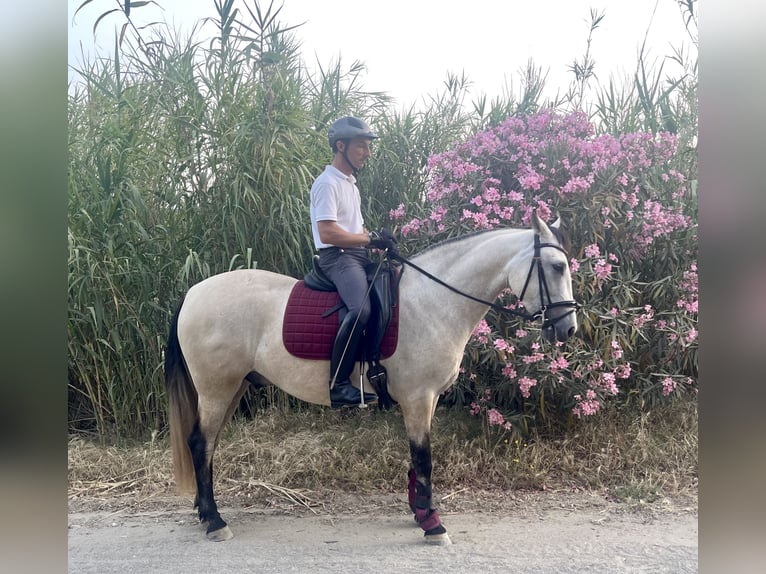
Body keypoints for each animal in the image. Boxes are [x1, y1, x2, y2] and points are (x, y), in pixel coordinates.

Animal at [165, 214, 580, 548]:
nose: (568, 329)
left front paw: (420, 512)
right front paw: (433, 525)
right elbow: (424, 458)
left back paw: (204, 512)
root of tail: (192, 293)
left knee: (208, 445)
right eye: (557, 266)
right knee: (200, 444)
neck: (433, 301)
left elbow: (417, 459)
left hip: (230, 388)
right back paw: (215, 521)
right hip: (216, 389)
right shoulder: (418, 397)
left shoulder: (425, 400)